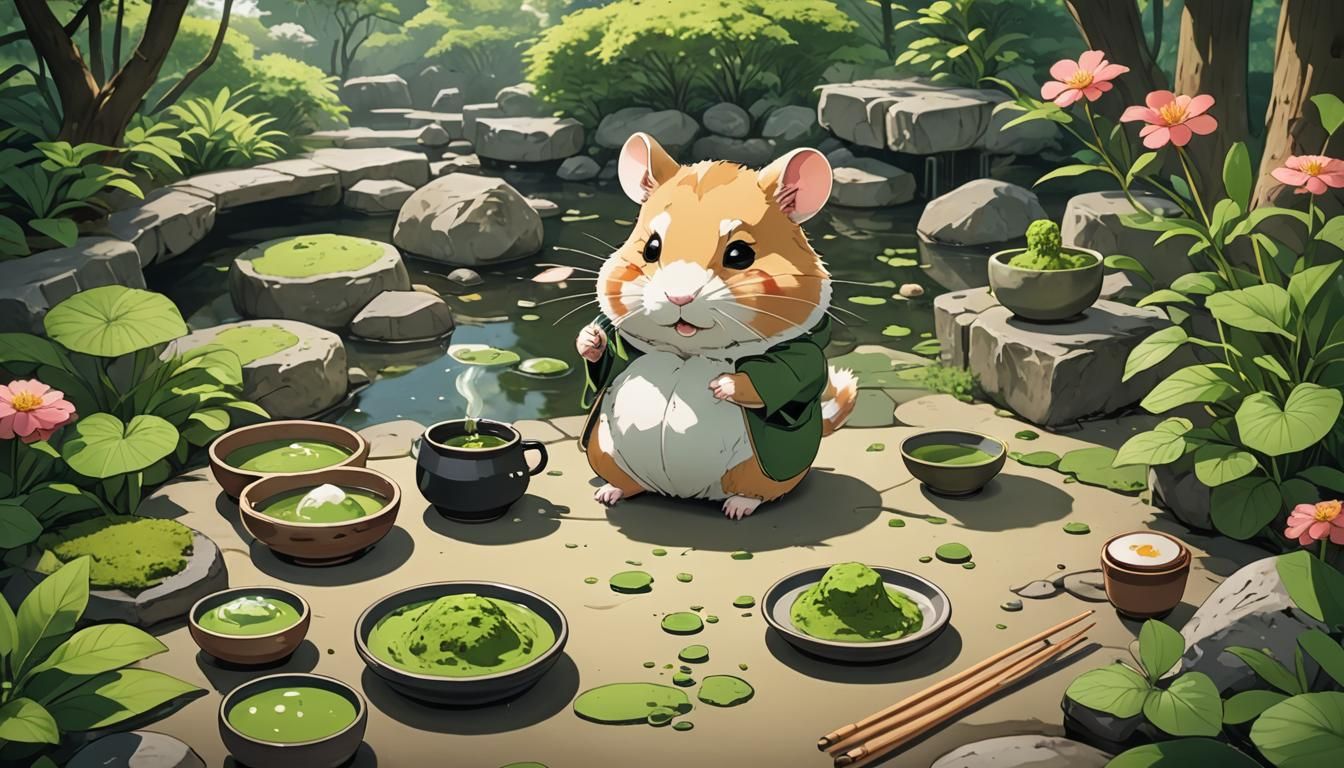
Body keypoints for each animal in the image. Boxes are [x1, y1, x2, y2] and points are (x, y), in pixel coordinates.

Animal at [575, 131, 857, 519]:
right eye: (651, 248)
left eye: (740, 254)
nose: (679, 296)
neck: (688, 352)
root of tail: (679, 493)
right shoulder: (624, 355)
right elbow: (604, 362)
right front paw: (590, 338)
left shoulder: (803, 355)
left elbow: (788, 374)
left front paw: (723, 385)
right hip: (606, 452)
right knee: (628, 483)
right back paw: (610, 491)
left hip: (756, 473)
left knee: (754, 492)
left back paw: (737, 507)